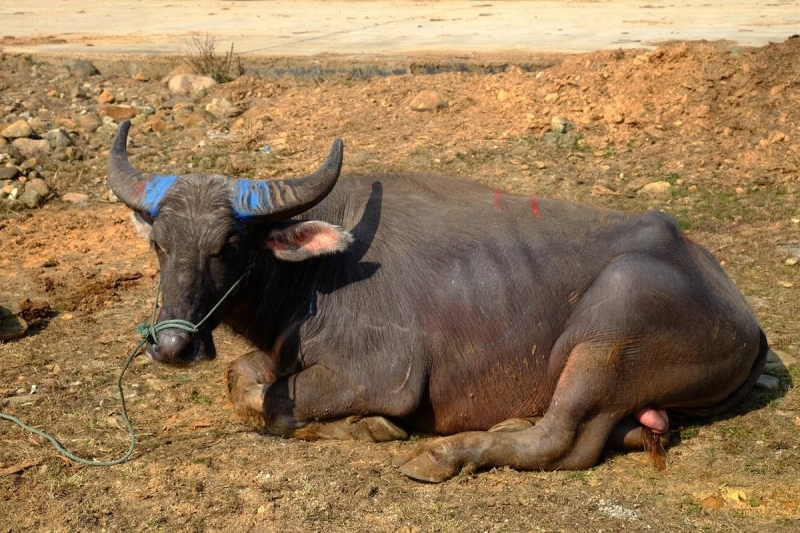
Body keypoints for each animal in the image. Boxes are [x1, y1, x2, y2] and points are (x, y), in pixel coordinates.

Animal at [108, 120, 768, 482]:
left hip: (610, 330)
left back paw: (443, 455)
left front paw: (372, 427)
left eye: (229, 244)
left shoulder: (383, 374)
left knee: (562, 441)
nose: (172, 345)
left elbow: (271, 399)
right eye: (161, 245)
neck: (318, 274)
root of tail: (748, 324)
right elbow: (242, 380)